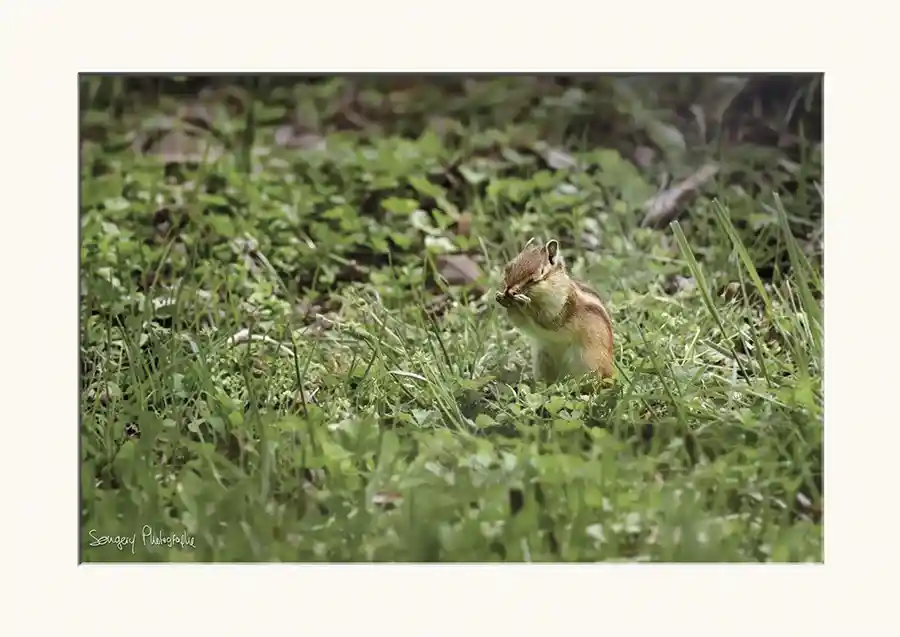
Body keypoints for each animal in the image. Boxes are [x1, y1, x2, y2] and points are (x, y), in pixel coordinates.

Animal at [495, 238, 614, 384]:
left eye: (535, 277)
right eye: (508, 268)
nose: (509, 291)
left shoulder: (562, 307)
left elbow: (548, 320)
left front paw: (523, 303)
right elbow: (519, 322)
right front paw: (501, 299)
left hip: (586, 362)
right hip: (542, 358)